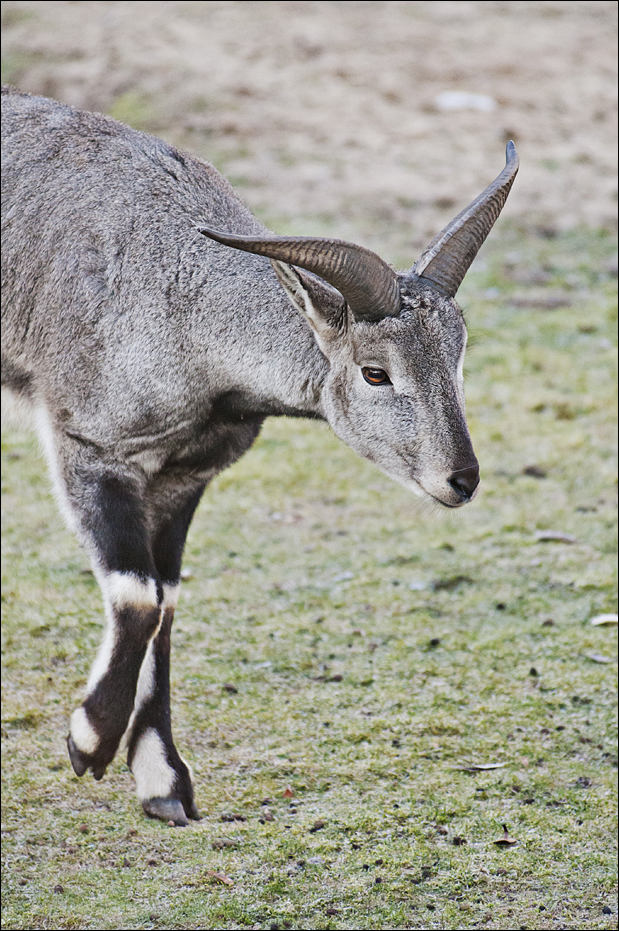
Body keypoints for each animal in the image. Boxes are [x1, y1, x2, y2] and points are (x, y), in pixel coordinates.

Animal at [1, 86, 518, 824]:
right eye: (374, 372)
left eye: (458, 358)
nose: (461, 478)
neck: (183, 307)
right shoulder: (91, 447)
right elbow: (137, 596)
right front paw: (89, 743)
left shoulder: (183, 477)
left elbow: (166, 601)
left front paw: (163, 783)